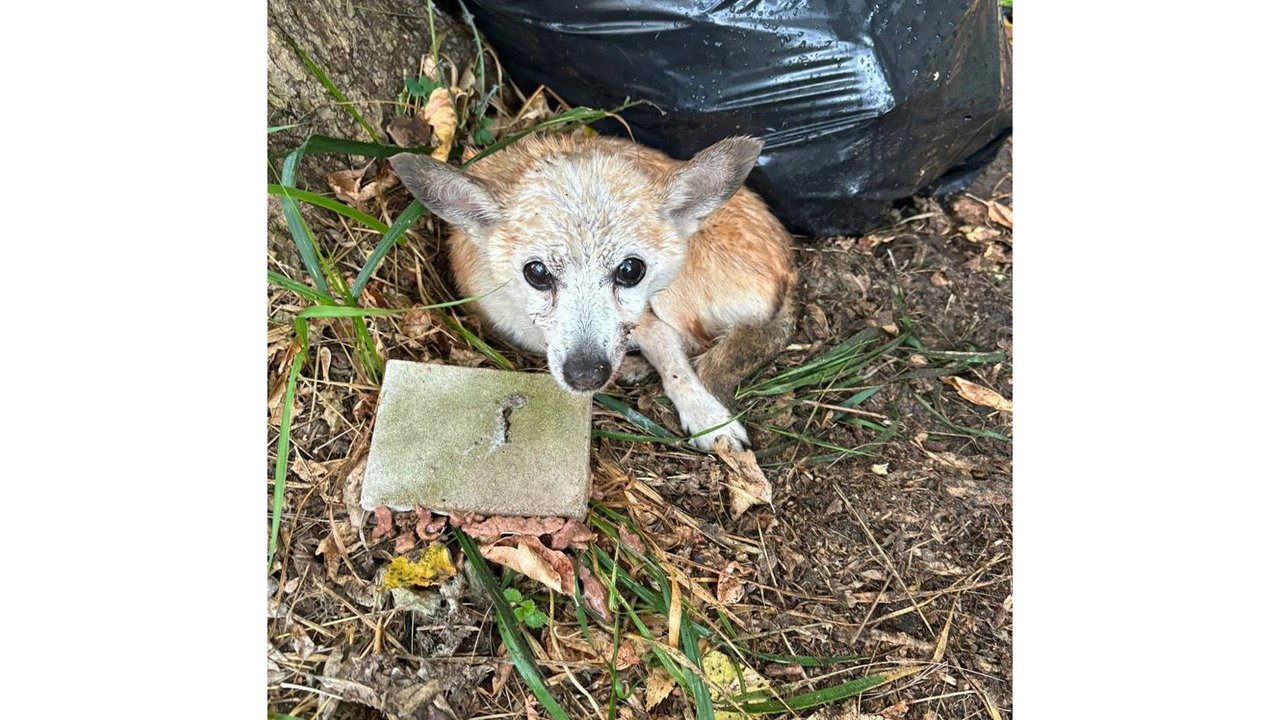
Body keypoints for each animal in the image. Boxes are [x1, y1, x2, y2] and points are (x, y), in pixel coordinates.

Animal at [384, 133, 793, 448]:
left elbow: (671, 356)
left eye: (631, 269)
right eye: (536, 273)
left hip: (674, 295)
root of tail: (791, 268)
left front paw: (706, 415)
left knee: (696, 342)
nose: (586, 375)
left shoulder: (645, 317)